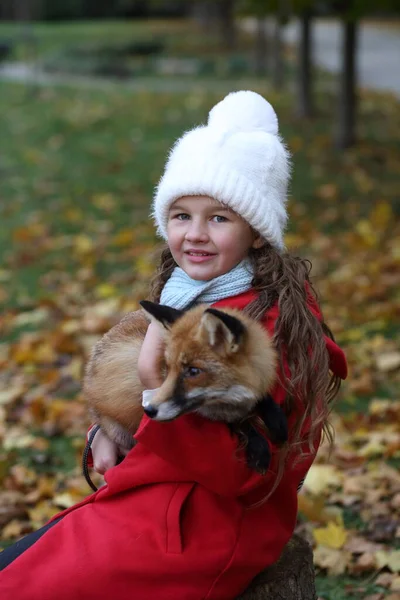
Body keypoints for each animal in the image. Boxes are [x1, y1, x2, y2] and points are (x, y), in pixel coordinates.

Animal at [83, 300, 288, 482]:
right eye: (168, 368)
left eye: (193, 372)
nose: (148, 410)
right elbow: (238, 423)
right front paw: (257, 445)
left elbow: (263, 401)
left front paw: (275, 419)